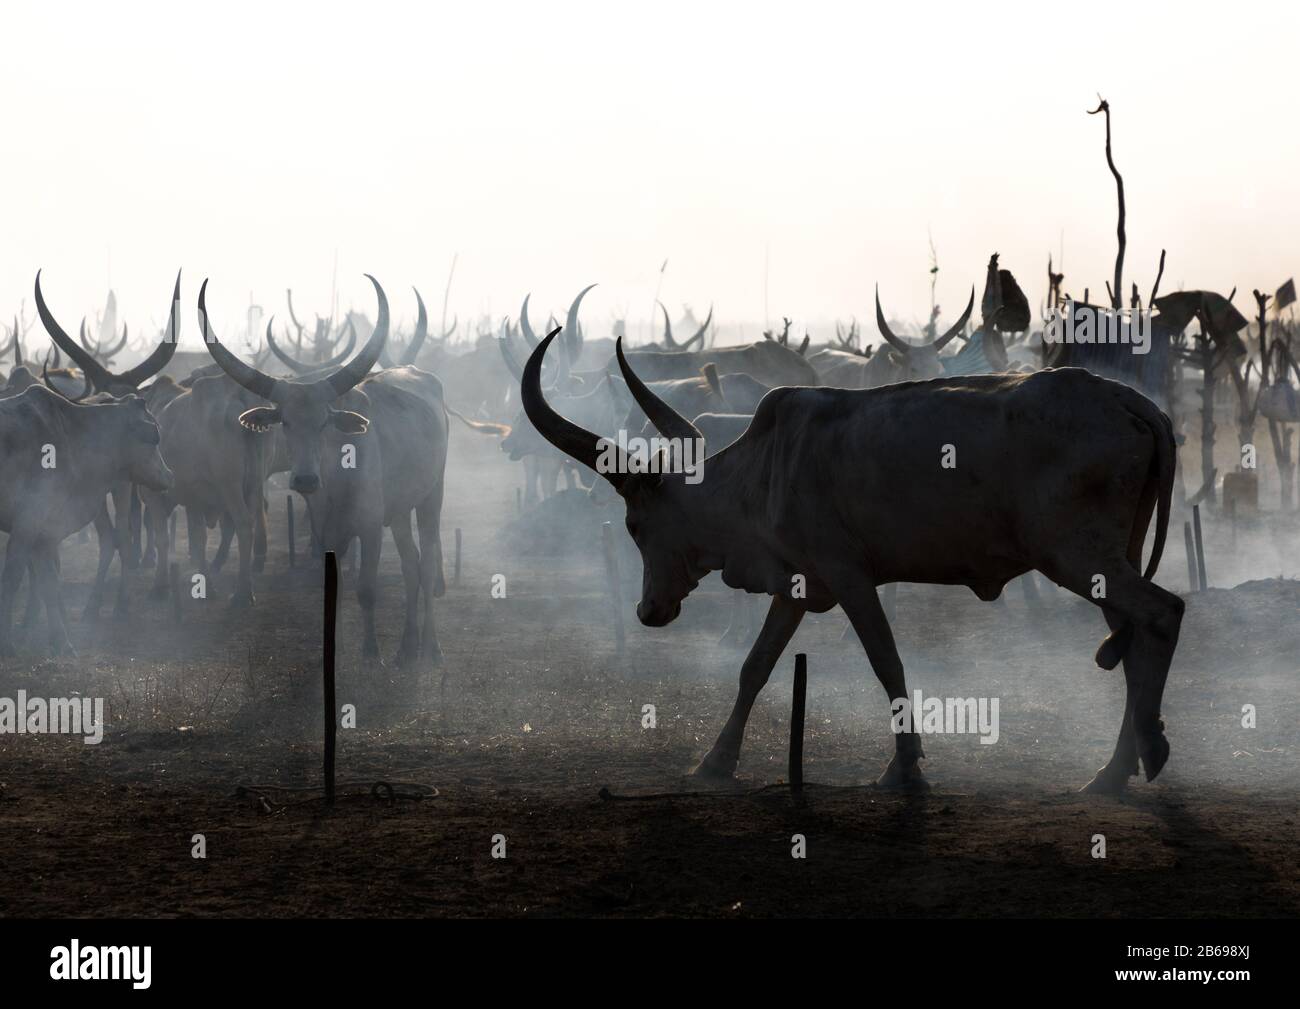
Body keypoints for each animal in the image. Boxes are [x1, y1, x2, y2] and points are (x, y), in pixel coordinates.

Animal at [522, 332, 1185, 795]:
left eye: (636, 525)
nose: (648, 610)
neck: (763, 470)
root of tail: (1131, 401)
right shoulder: (796, 584)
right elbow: (755, 668)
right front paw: (715, 761)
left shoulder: (848, 575)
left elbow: (886, 662)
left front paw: (906, 768)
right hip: (1109, 559)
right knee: (1134, 642)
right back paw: (1123, 765)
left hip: (1076, 556)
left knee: (1162, 614)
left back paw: (1130, 762)